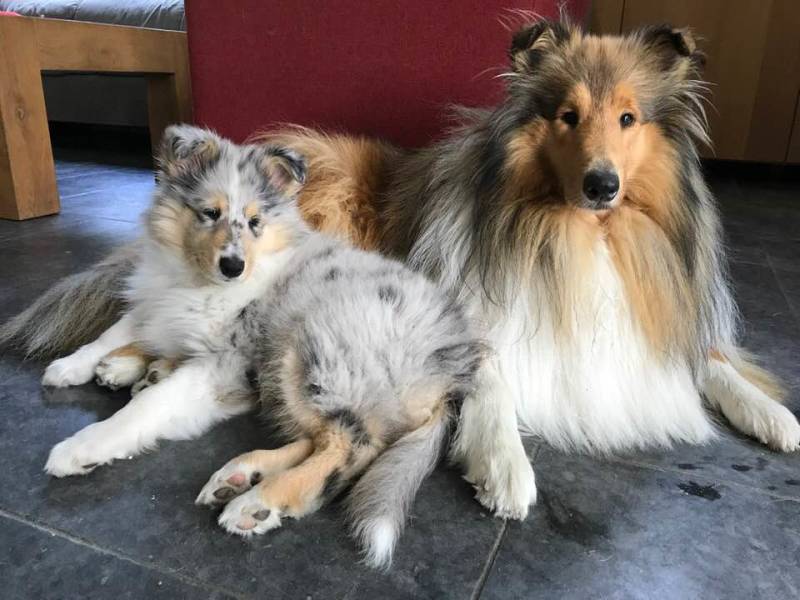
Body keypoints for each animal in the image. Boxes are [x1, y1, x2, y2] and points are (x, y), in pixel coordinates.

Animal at [3, 19, 799, 523]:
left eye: (629, 119)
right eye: (567, 116)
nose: (602, 185)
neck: (569, 237)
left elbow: (711, 359)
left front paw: (775, 416)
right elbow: (120, 326)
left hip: (307, 358)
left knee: (349, 443)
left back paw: (256, 491)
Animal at [32, 125, 486, 568]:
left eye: (254, 221)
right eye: (209, 213)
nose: (233, 266)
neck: (195, 281)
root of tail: (454, 369)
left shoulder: (223, 361)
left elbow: (148, 405)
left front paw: (82, 447)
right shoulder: (158, 300)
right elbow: (115, 331)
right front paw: (75, 365)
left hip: (311, 345)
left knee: (353, 446)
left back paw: (258, 501)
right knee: (323, 436)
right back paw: (240, 473)